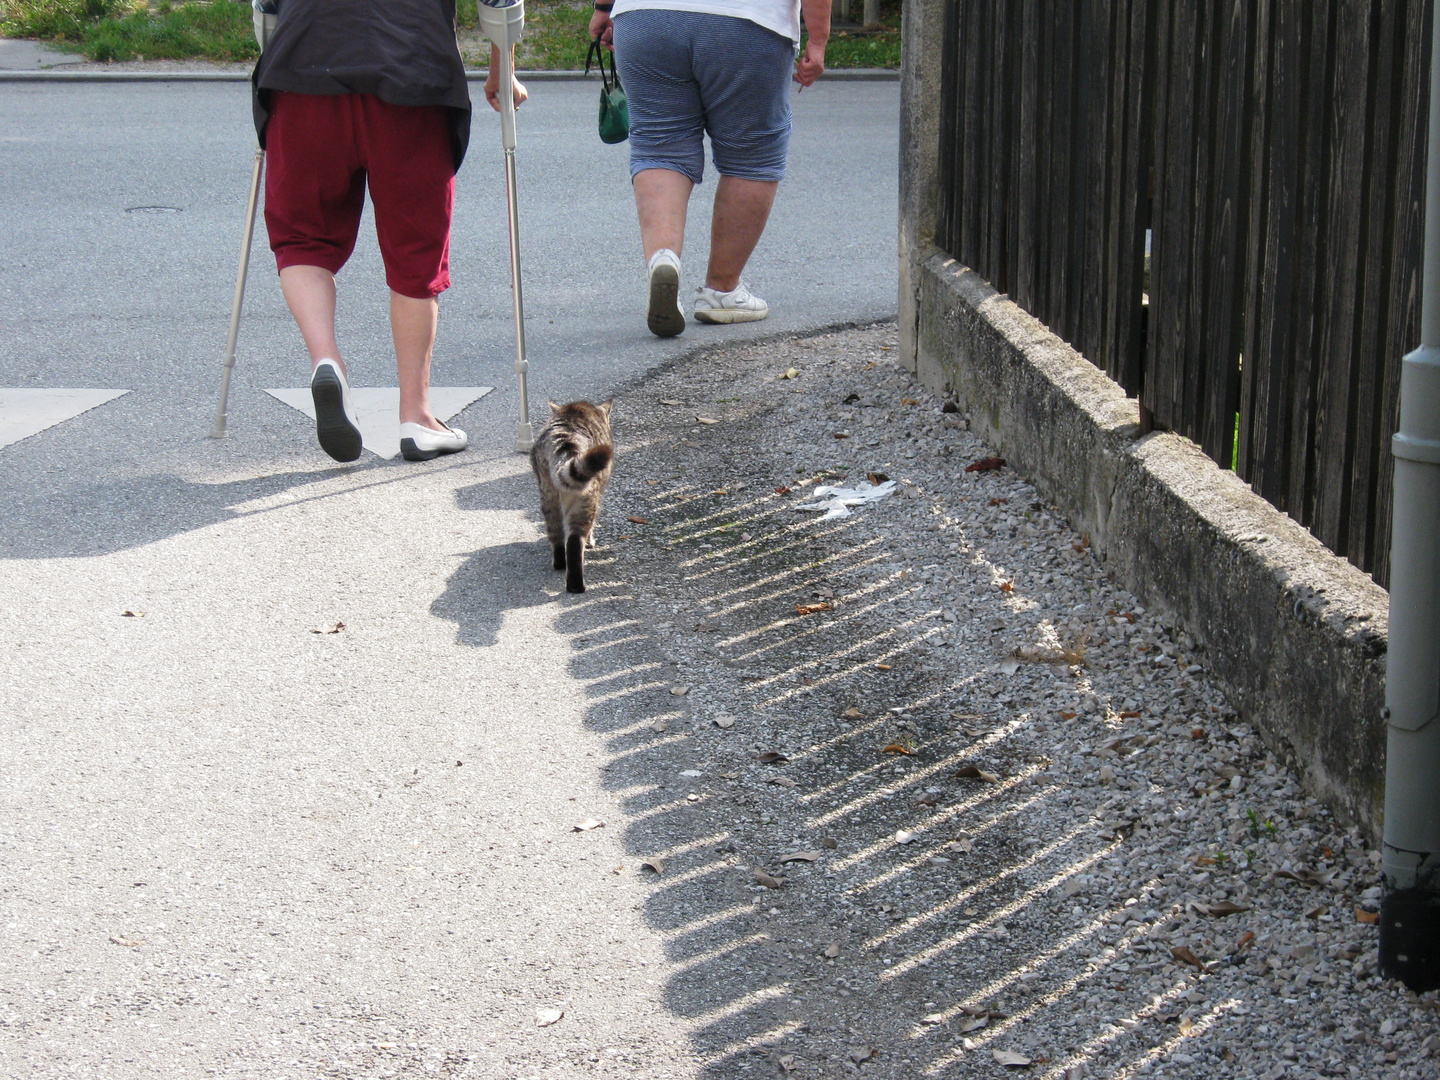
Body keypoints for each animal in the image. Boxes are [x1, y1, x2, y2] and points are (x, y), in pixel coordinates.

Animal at [532, 403, 616, 596]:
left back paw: (560, 563)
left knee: (555, 532)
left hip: (548, 493)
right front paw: (591, 541)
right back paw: (575, 584)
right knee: (575, 540)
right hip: (587, 498)